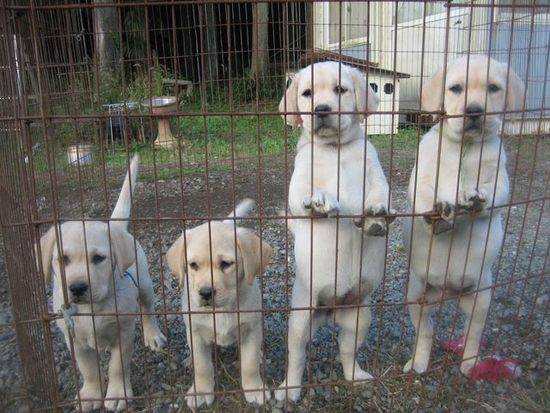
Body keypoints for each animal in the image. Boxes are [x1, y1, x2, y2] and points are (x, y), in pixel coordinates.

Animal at [35, 154, 166, 408]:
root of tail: (113, 225)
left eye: (98, 258)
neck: (92, 307)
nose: (77, 287)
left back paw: (153, 335)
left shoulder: (123, 333)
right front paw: (91, 394)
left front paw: (116, 394)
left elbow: (117, 366)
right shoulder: (74, 340)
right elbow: (88, 370)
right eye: (63, 259)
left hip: (145, 284)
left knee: (147, 309)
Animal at [276, 62, 396, 400]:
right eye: (307, 93)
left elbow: (380, 193)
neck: (336, 149)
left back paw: (356, 376)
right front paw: (322, 200)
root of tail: (330, 310)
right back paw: (289, 389)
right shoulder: (298, 184)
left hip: (360, 318)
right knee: (297, 354)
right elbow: (305, 195)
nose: (321, 110)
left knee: (346, 350)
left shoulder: (375, 173)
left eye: (340, 90)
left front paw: (376, 215)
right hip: (300, 319)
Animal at [404, 56, 528, 378]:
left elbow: (494, 192)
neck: (464, 146)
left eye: (494, 88)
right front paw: (436, 215)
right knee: (425, 333)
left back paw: (470, 363)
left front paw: (474, 196)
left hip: (482, 297)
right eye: (456, 88)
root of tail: (449, 293)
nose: (474, 110)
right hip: (417, 296)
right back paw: (418, 361)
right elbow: (423, 195)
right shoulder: (422, 174)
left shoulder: (498, 175)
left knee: (472, 333)